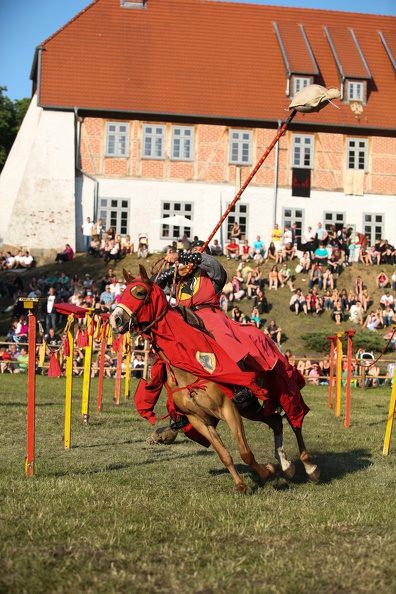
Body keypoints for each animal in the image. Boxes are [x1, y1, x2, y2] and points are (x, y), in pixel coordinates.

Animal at [110, 268, 320, 490]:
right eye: (123, 293)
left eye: (140, 292)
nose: (115, 320)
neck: (186, 366)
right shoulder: (199, 420)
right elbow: (224, 455)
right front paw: (241, 486)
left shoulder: (229, 409)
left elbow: (245, 452)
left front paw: (266, 471)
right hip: (249, 407)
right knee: (276, 421)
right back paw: (287, 466)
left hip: (279, 386)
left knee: (294, 419)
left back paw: (309, 467)